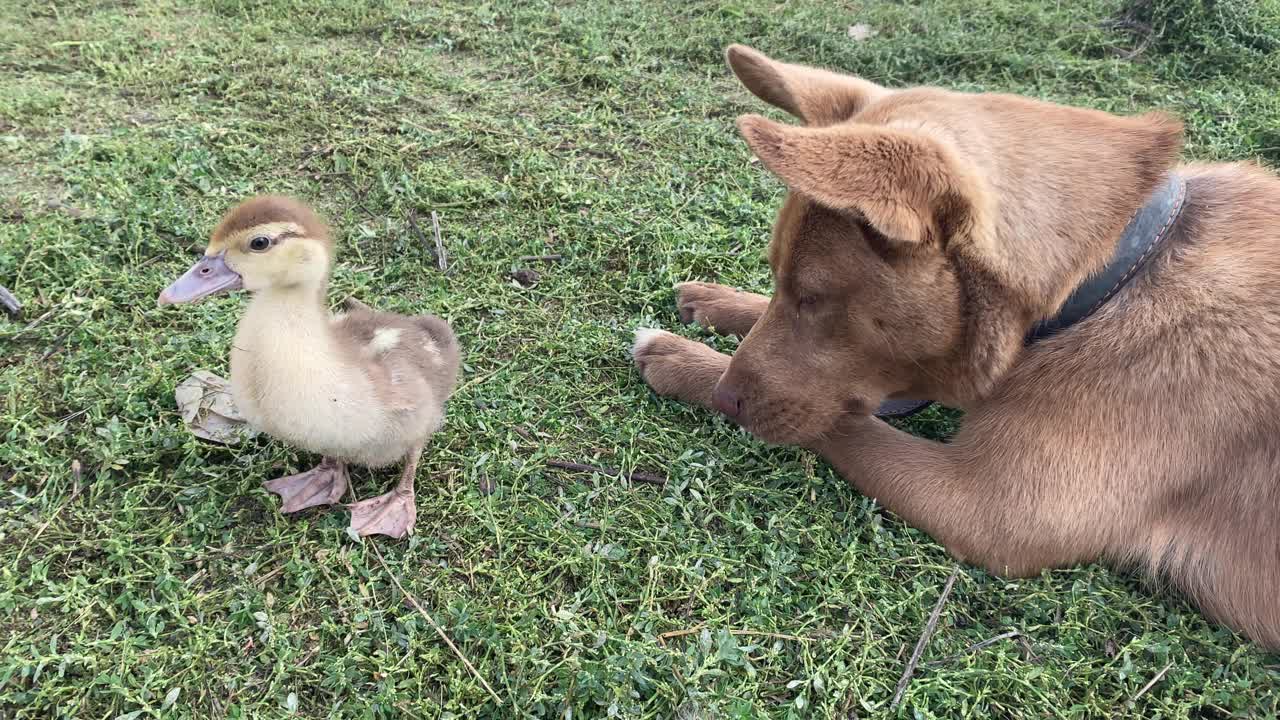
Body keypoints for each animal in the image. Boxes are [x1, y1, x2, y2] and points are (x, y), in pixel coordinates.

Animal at [634, 46, 1280, 650]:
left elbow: (847, 426)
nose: (725, 398)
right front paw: (719, 302)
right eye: (780, 281)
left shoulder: (983, 510)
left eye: (813, 298)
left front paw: (684, 359)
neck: (1110, 275)